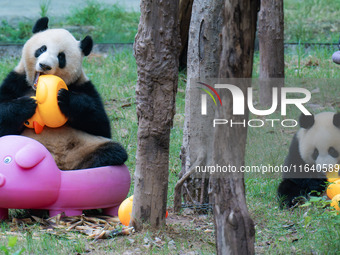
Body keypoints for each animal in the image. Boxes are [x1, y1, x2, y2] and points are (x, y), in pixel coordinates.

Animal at [0, 16, 127, 170]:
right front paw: (26, 105)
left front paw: (65, 99)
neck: (35, 89)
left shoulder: (83, 86)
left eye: (61, 57)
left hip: (86, 146)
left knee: (113, 151)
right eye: (42, 49)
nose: (45, 65)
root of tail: (61, 164)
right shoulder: (15, 82)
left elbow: (100, 125)